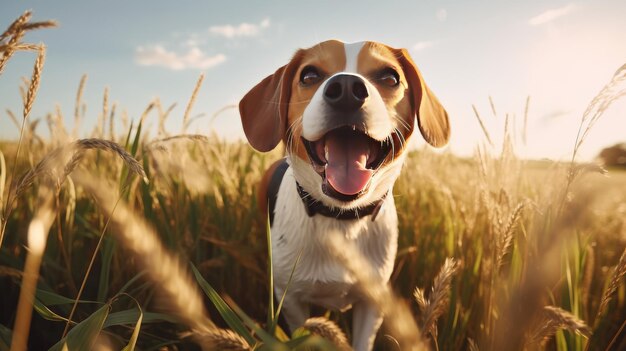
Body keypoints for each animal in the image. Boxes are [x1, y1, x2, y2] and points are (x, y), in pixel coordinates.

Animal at [236, 40, 446, 350]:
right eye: (309, 75)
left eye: (390, 77)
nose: (346, 88)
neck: (340, 219)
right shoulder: (291, 299)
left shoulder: (372, 302)